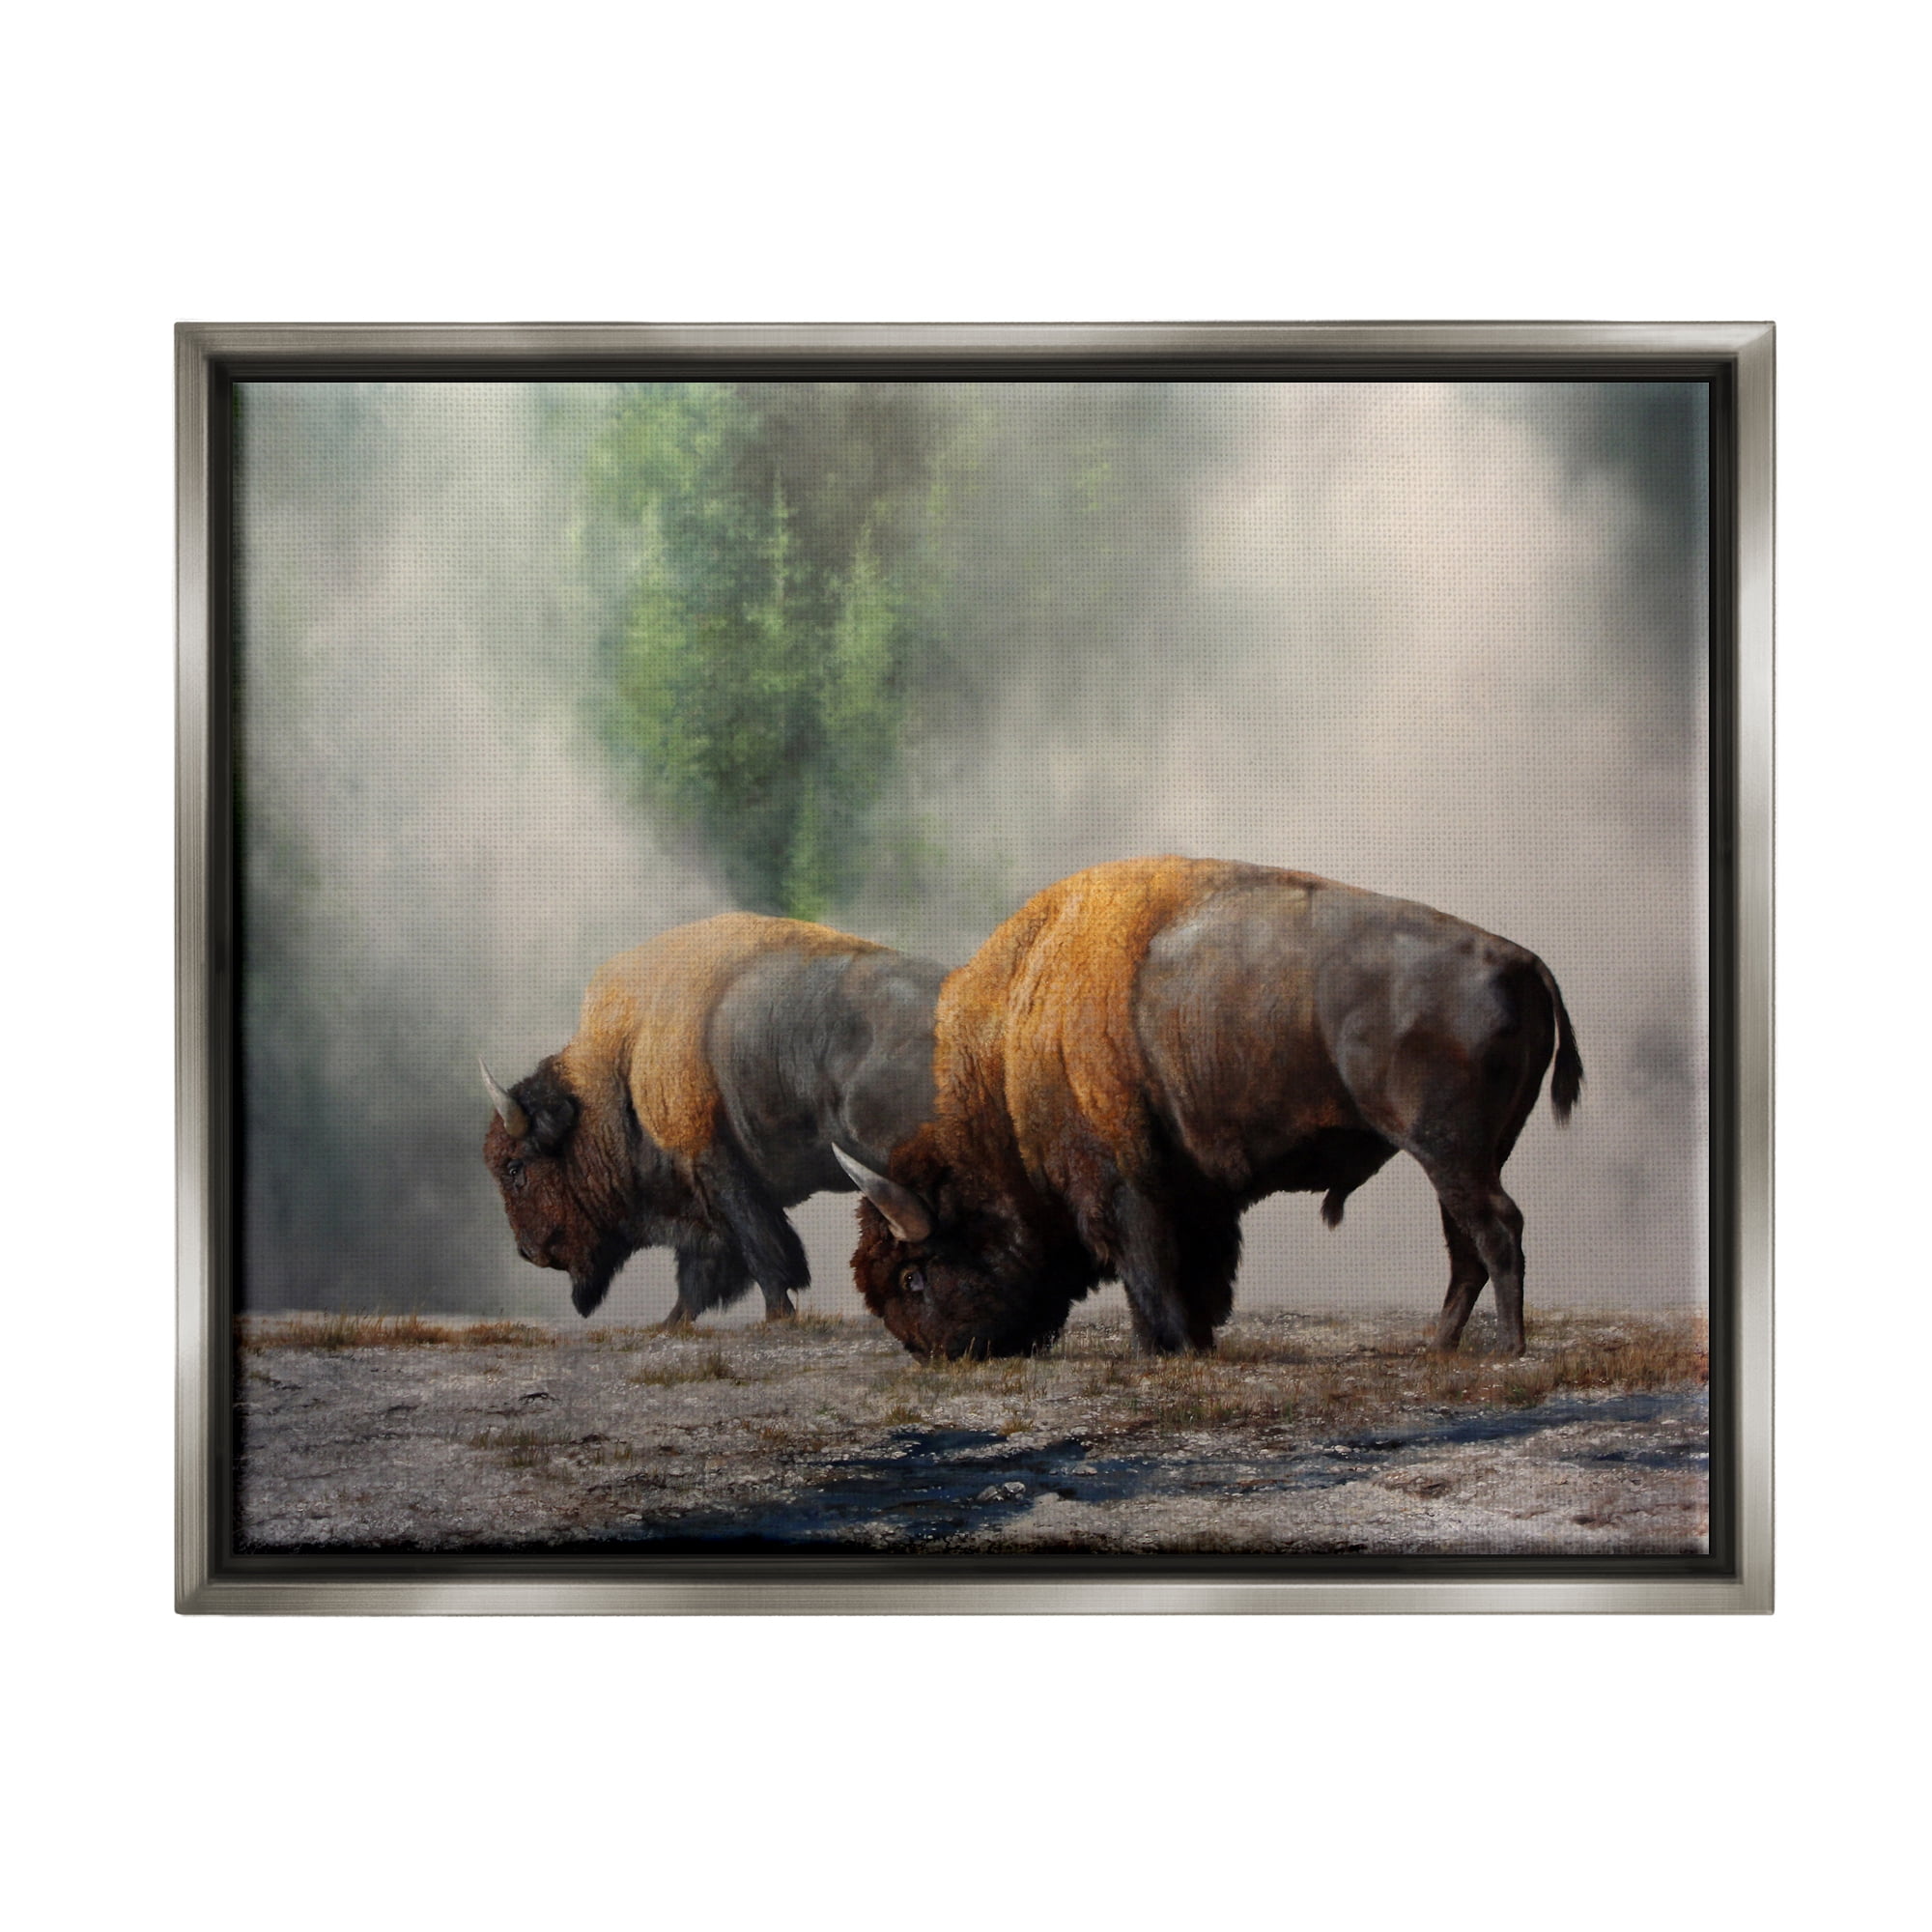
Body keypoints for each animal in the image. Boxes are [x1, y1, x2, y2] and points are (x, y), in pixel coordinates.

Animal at [483, 914, 946, 1324]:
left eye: (515, 1168)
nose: (528, 1252)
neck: (622, 1069)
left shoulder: (722, 1177)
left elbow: (763, 1256)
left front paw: (778, 1315)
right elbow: (701, 1274)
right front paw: (671, 1322)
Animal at [837, 856, 1581, 1359]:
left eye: (912, 1276)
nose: (927, 1351)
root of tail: (1520, 958)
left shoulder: (1121, 1183)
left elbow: (1148, 1268)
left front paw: (1162, 1348)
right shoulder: (1190, 1190)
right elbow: (1194, 1269)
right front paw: (1196, 1340)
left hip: (1448, 1147)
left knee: (1496, 1229)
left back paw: (1507, 1347)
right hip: (1467, 1153)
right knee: (1466, 1241)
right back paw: (1440, 1344)